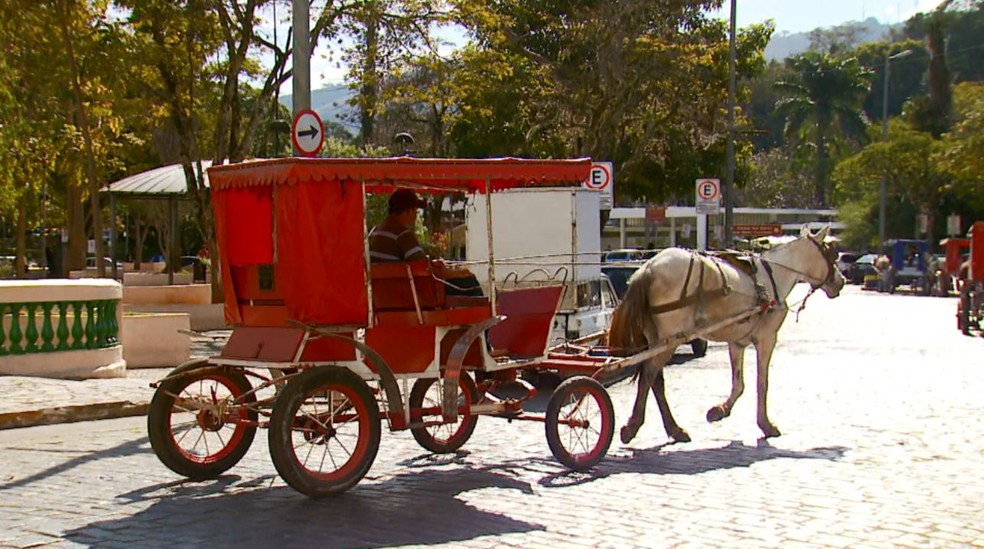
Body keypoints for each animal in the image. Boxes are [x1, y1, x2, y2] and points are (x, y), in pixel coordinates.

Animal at [612, 225, 840, 444]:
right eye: (831, 254)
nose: (841, 280)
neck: (774, 275)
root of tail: (649, 267)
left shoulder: (737, 342)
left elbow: (738, 383)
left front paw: (720, 411)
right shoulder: (767, 339)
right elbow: (762, 382)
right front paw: (765, 424)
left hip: (658, 339)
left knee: (656, 380)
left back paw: (674, 429)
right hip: (670, 339)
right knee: (649, 375)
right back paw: (633, 426)